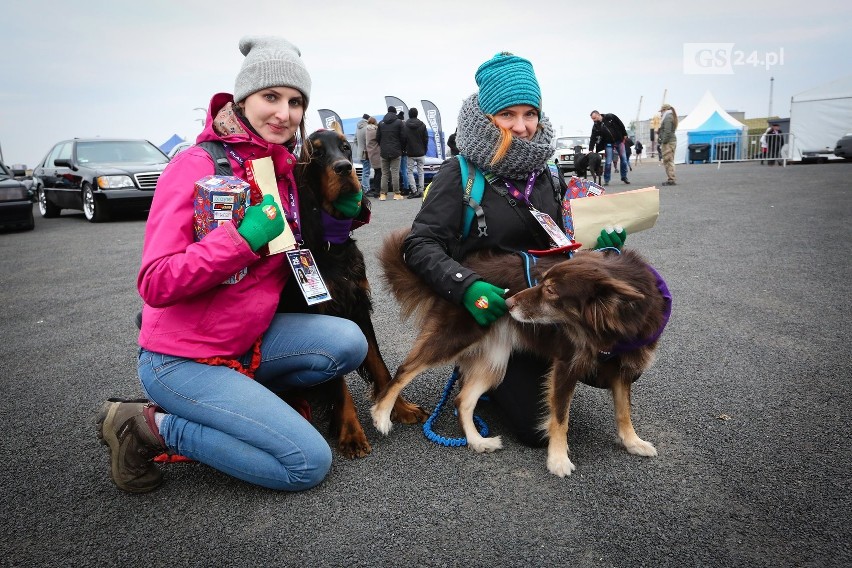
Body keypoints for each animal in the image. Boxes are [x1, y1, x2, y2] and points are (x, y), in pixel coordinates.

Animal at [372, 229, 672, 478]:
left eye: (550, 290)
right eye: (543, 281)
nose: (508, 301)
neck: (611, 327)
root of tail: (464, 269)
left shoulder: (624, 367)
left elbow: (623, 411)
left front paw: (633, 442)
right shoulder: (565, 364)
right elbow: (560, 418)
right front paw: (558, 459)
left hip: (494, 360)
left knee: (463, 400)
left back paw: (477, 441)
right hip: (454, 338)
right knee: (405, 370)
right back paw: (381, 414)